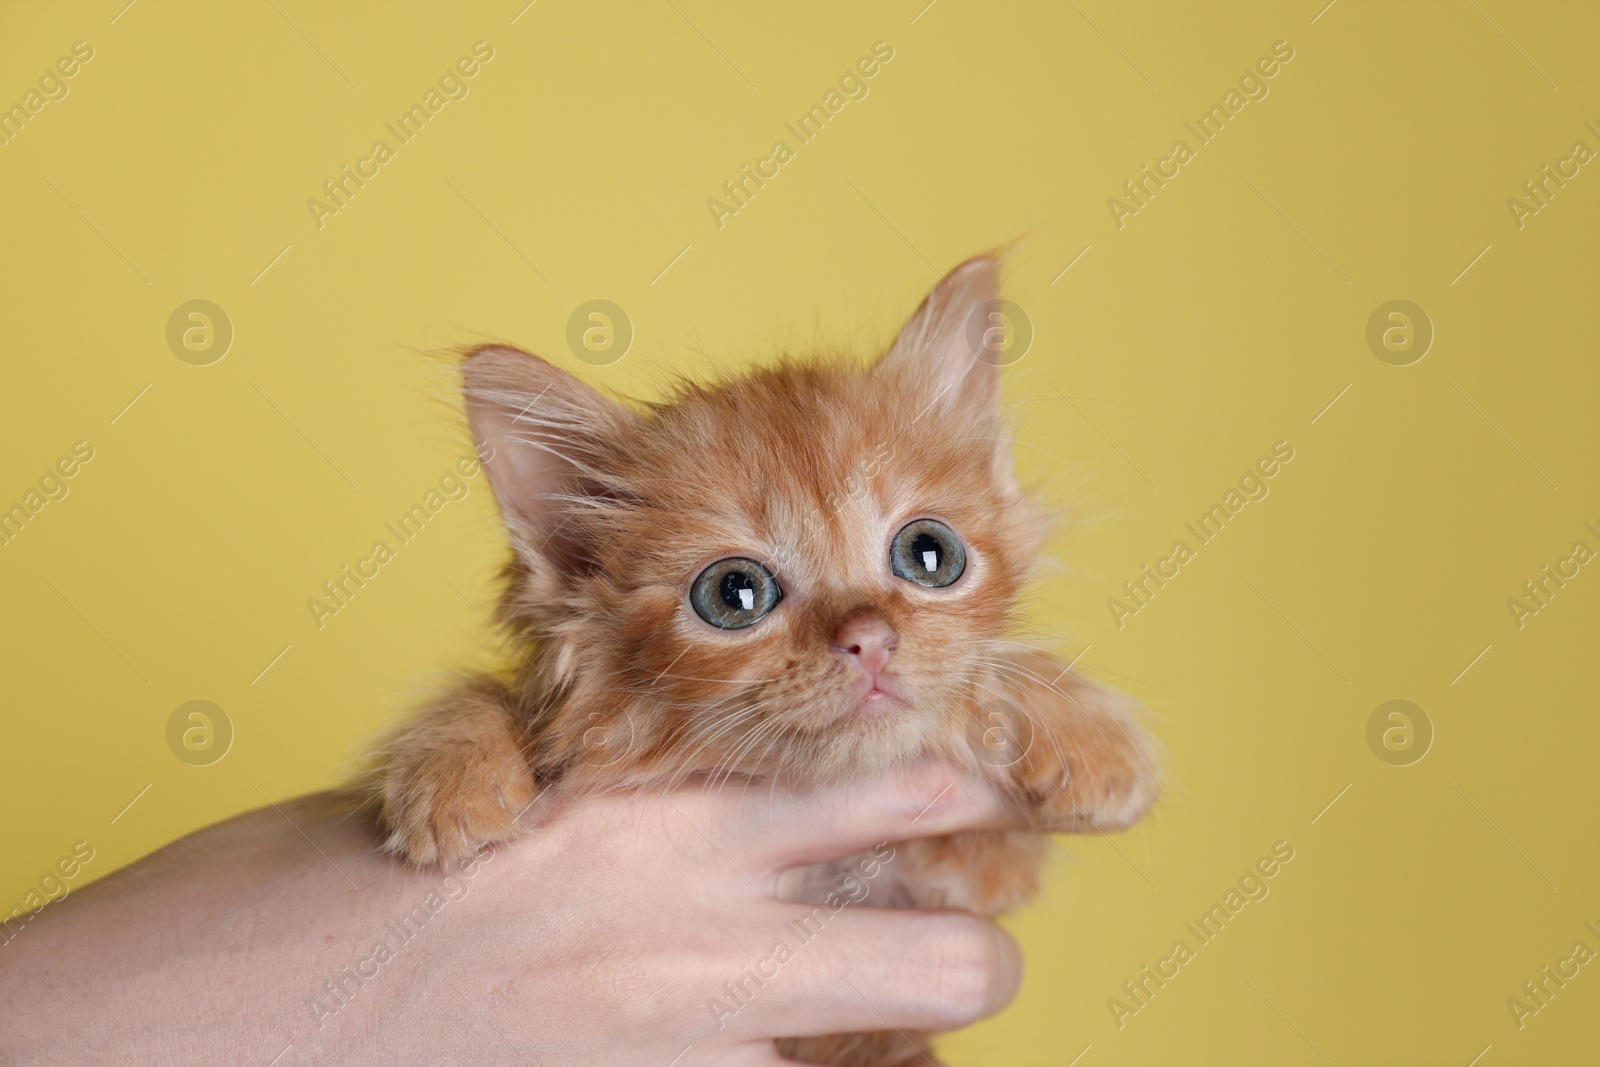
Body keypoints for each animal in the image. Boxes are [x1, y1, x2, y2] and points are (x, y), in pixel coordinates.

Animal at [368, 254, 1158, 1062]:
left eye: (928, 554)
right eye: (734, 594)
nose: (869, 638)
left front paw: (1078, 743)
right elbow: (479, 695)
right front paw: (452, 776)